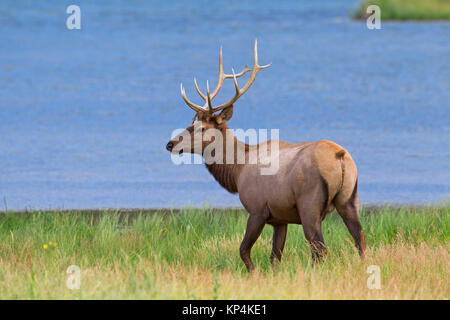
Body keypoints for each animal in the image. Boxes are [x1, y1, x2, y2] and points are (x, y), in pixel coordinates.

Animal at [165, 38, 366, 272]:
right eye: (191, 122)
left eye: (201, 128)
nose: (170, 144)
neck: (237, 171)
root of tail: (340, 156)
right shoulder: (280, 218)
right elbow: (275, 256)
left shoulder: (257, 209)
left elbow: (244, 250)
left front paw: (254, 274)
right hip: (350, 199)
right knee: (360, 238)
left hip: (310, 204)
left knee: (320, 249)